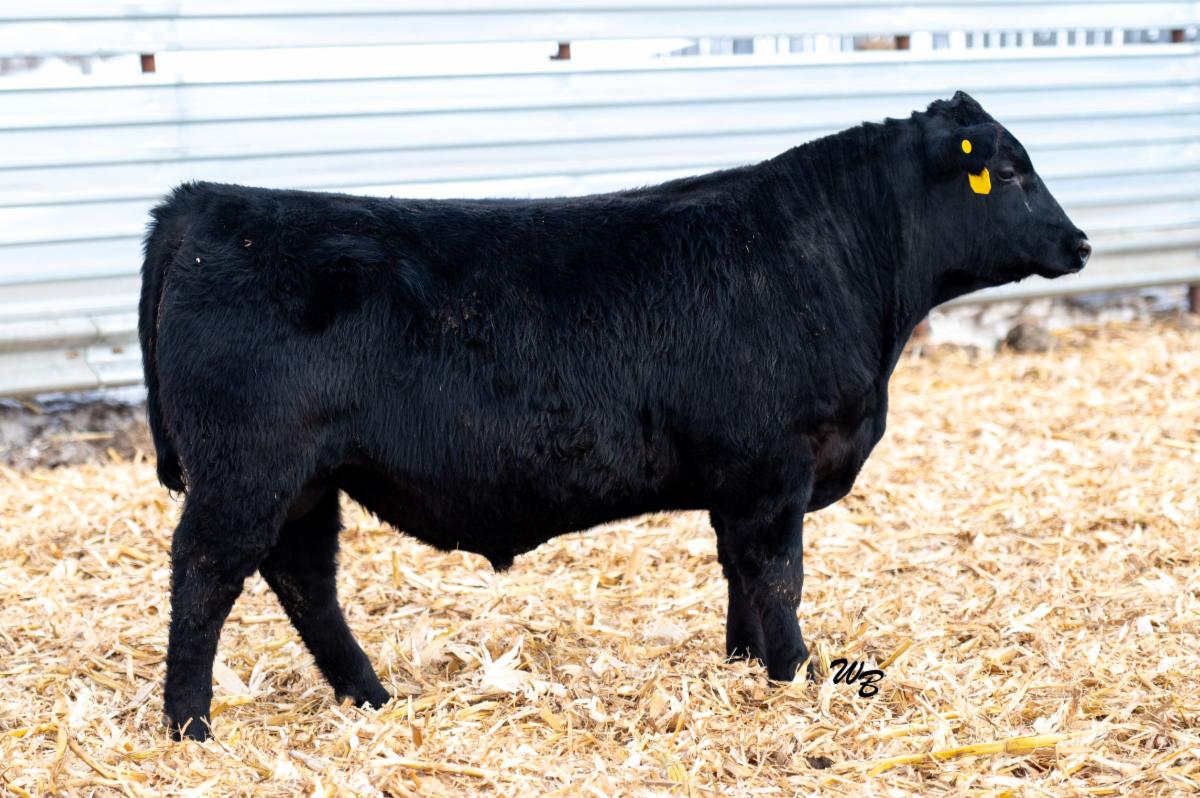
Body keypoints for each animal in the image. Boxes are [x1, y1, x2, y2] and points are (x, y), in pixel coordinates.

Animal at [139, 92, 1089, 740]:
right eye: (1008, 170)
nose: (1080, 242)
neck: (838, 261)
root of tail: (201, 201)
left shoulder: (738, 481)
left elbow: (741, 573)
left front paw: (746, 664)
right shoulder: (775, 464)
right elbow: (779, 576)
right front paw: (798, 673)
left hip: (308, 481)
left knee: (304, 579)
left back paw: (368, 695)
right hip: (248, 471)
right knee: (206, 576)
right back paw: (190, 725)